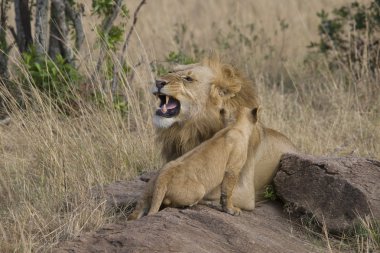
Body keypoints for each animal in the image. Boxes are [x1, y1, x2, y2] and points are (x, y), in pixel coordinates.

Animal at [130, 106, 258, 219]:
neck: (234, 125)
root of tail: (163, 177)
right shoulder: (232, 169)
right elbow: (228, 192)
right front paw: (231, 210)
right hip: (200, 189)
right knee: (169, 203)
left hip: (147, 193)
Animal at [151, 55, 296, 210]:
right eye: (170, 71)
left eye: (188, 79)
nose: (158, 81)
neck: (193, 130)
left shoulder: (245, 192)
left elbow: (215, 190)